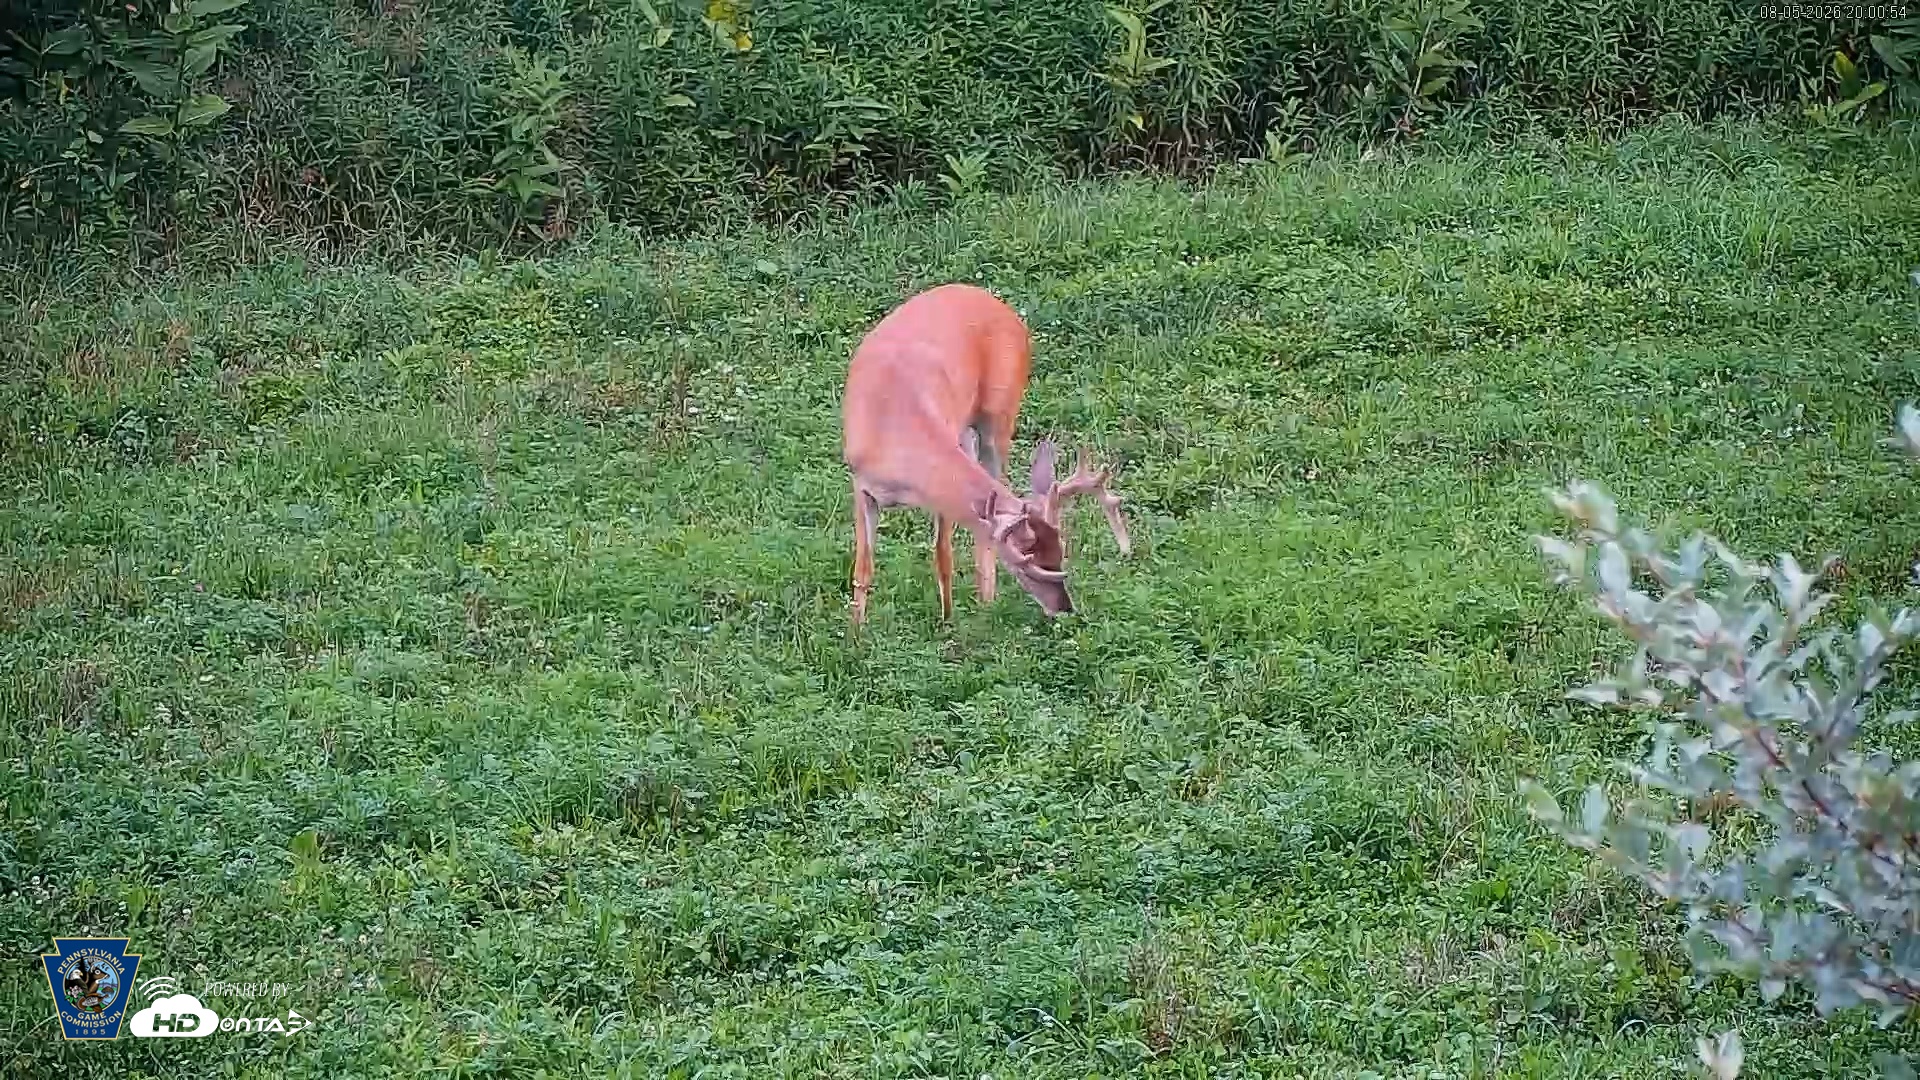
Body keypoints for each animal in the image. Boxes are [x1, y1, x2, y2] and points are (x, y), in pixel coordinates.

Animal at [840, 283, 1131, 625]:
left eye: (1060, 555)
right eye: (1030, 565)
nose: (1064, 607)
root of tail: (1000, 305)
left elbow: (943, 553)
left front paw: (947, 621)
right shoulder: (861, 483)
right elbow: (863, 569)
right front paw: (856, 632)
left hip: (1000, 414)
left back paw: (987, 603)